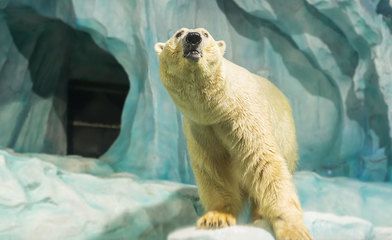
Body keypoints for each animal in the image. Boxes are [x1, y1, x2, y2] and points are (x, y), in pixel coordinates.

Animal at [155, 28, 310, 240]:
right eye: (179, 33)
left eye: (206, 33)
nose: (193, 37)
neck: (218, 106)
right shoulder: (201, 127)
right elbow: (214, 168)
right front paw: (216, 218)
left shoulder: (243, 115)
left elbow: (264, 162)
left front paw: (294, 230)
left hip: (287, 138)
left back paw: (259, 215)